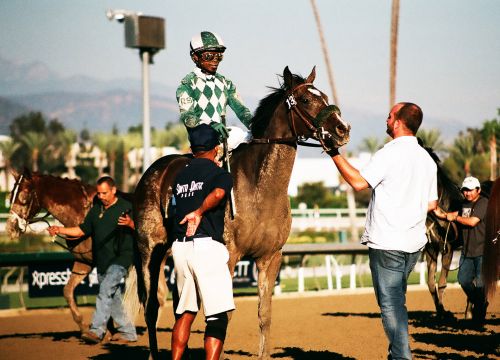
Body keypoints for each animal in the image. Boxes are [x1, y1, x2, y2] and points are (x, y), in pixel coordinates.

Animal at [6, 170, 96, 334]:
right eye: (10, 196)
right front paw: (86, 329)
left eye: (24, 197)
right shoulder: (84, 261)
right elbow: (68, 290)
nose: (10, 228)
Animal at [132, 67, 352, 358]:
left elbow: (264, 314)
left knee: (181, 307)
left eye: (325, 96)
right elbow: (223, 315)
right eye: (305, 100)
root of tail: (153, 170)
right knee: (151, 306)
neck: (260, 189)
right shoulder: (228, 257)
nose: (342, 129)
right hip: (150, 249)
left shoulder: (271, 257)